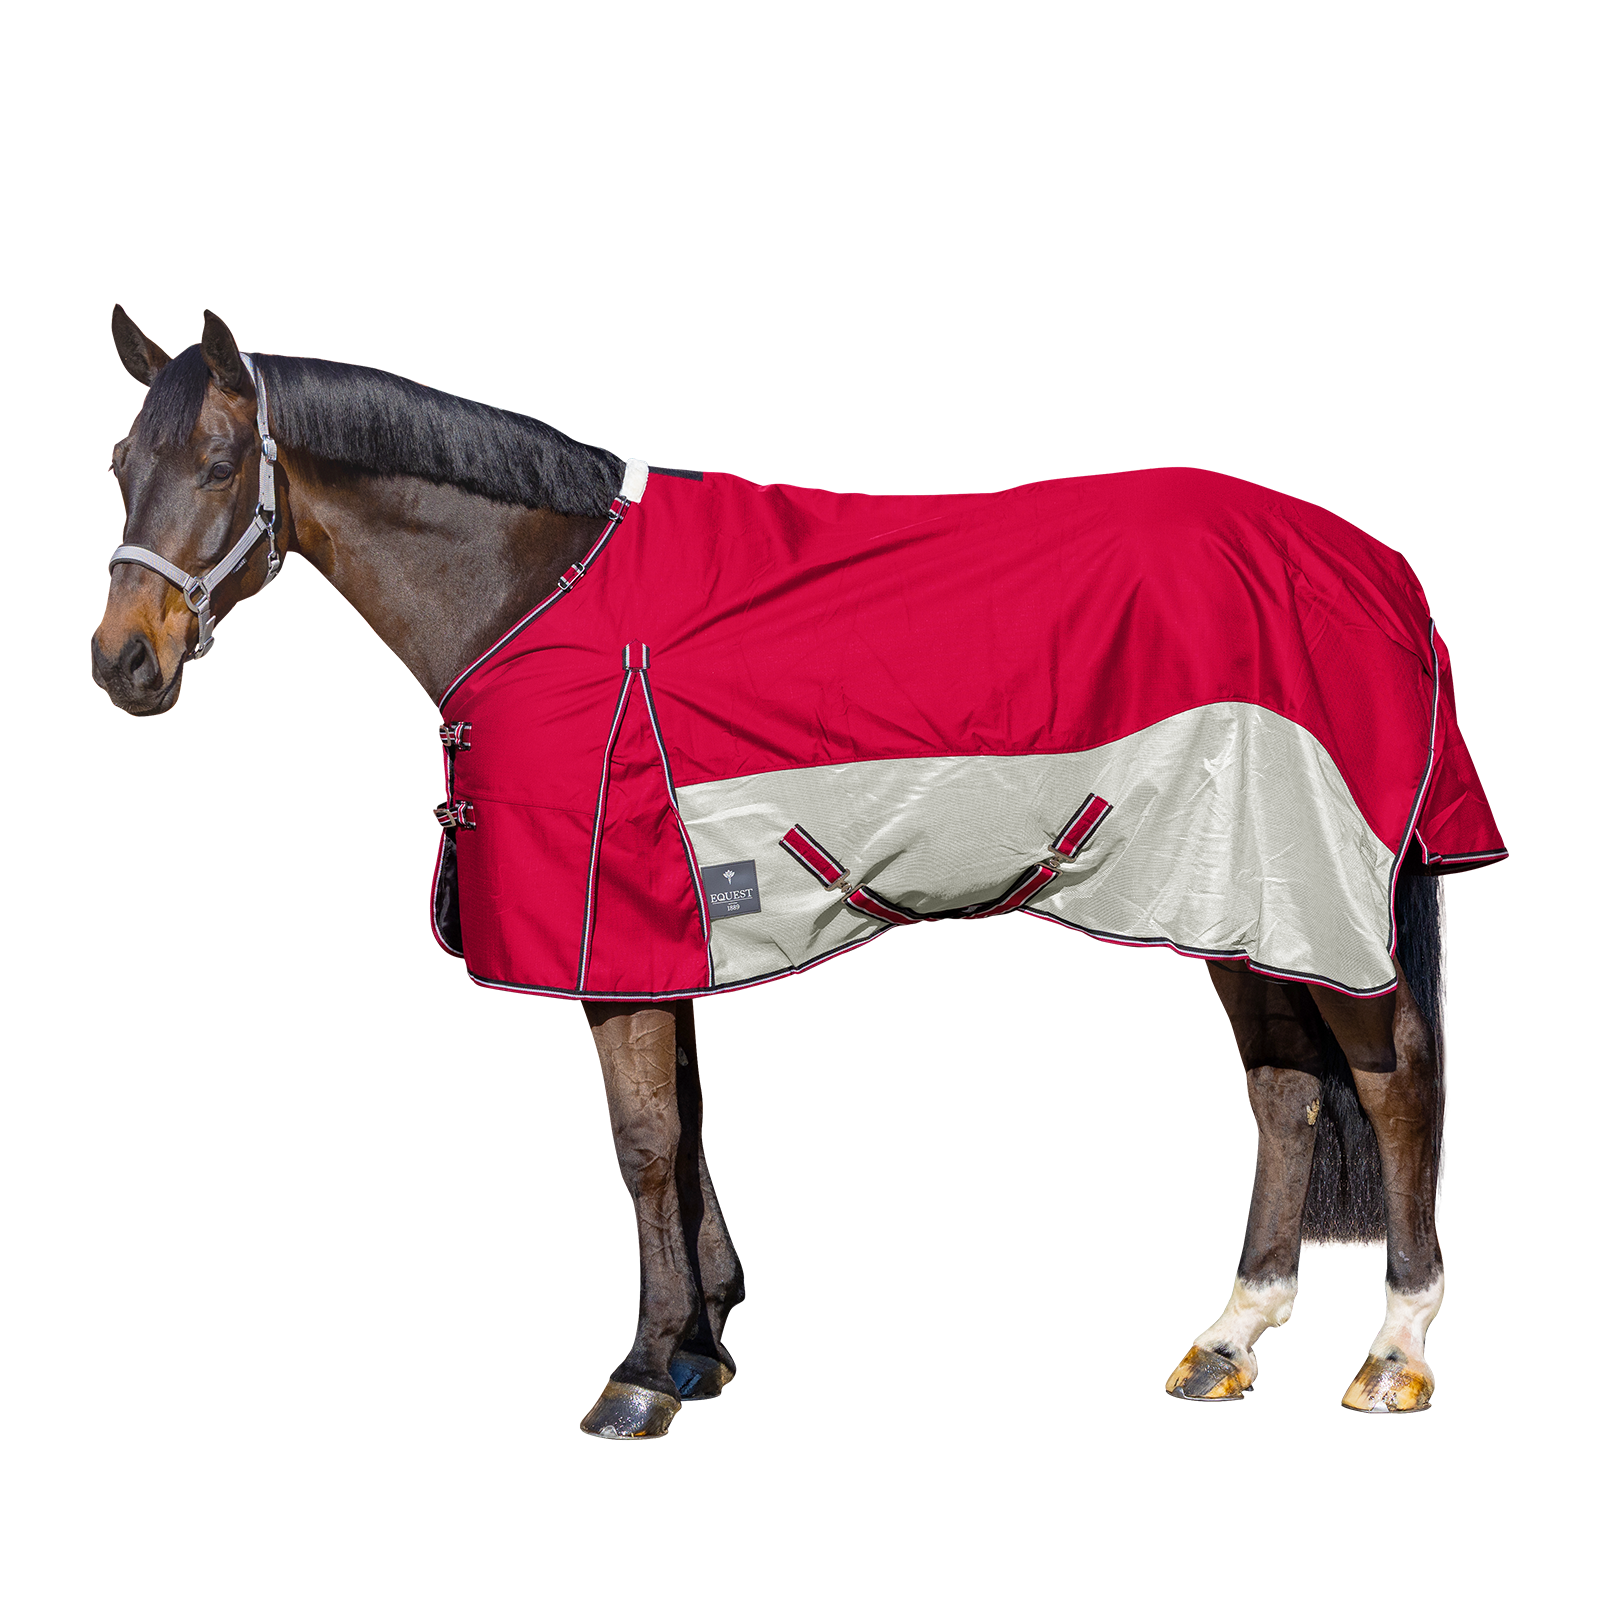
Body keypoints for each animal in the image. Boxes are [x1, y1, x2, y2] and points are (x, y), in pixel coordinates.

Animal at [95, 305, 1483, 1438]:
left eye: (217, 463)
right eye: (120, 464)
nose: (123, 660)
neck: (535, 591)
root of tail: (1365, 565)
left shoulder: (617, 922)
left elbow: (645, 1137)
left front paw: (642, 1372)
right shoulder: (667, 927)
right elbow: (689, 1128)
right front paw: (701, 1344)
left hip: (1315, 886)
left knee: (1396, 1078)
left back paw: (1396, 1354)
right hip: (1245, 891)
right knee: (1287, 1094)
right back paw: (1230, 1339)